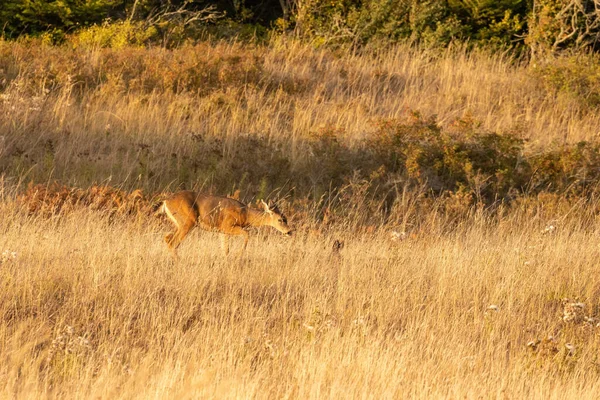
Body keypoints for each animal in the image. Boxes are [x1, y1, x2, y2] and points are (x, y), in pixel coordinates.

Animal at [158, 190, 292, 258]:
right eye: (280, 220)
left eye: (286, 218)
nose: (289, 231)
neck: (245, 214)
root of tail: (166, 201)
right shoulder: (228, 226)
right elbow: (246, 234)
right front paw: (239, 255)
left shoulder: (222, 231)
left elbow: (225, 250)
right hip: (188, 221)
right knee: (173, 242)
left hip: (180, 223)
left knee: (167, 238)